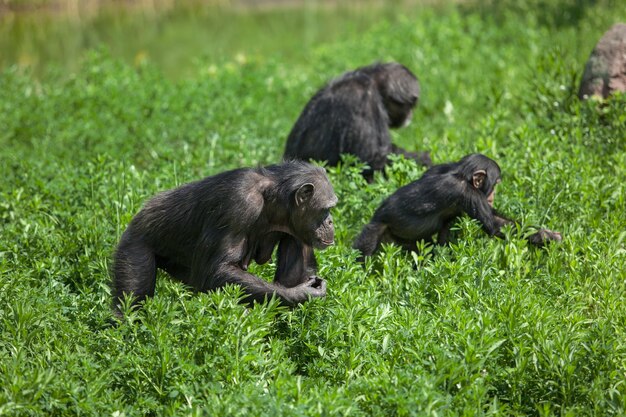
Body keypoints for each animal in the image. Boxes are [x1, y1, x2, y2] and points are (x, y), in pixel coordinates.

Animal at [112, 160, 336, 316]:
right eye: (326, 208)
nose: (331, 221)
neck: (275, 201)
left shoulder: (299, 229)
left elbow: (294, 274)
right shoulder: (238, 203)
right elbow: (218, 269)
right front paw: (301, 293)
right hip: (134, 246)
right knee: (132, 299)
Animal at [354, 153, 564, 256]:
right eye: (496, 183)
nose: (494, 194)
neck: (462, 174)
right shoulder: (467, 194)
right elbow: (494, 225)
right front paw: (547, 236)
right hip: (374, 231)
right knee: (363, 251)